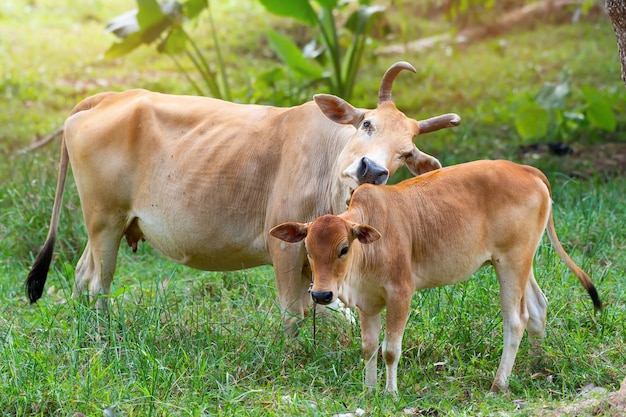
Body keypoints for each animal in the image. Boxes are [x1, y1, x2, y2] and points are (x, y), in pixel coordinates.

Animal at [25, 61, 458, 332]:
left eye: (405, 152)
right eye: (367, 124)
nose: (372, 169)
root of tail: (109, 97)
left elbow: (334, 310)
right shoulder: (284, 247)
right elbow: (293, 312)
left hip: (106, 226)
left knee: (82, 275)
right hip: (105, 221)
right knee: (97, 282)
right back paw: (104, 334)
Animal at [268, 158, 600, 390]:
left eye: (344, 248)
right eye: (308, 249)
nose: (321, 294)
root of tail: (526, 169)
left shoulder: (401, 293)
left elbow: (390, 350)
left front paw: (390, 393)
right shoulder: (368, 303)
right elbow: (369, 348)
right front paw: (369, 390)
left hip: (512, 261)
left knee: (516, 320)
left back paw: (499, 384)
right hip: (519, 262)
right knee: (538, 307)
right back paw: (536, 367)